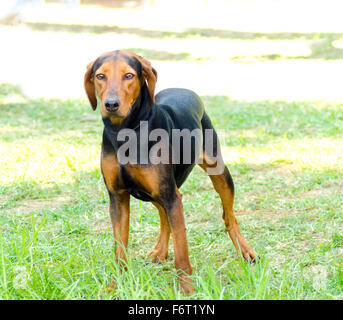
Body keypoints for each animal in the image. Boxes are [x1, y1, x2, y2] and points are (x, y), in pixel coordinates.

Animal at [83, 49, 256, 292]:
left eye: (129, 75)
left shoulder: (172, 197)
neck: (126, 131)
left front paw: (187, 290)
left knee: (228, 216)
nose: (111, 104)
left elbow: (182, 251)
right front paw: (115, 287)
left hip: (218, 174)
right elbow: (120, 250)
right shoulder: (118, 197)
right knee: (164, 217)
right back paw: (160, 251)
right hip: (154, 192)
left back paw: (245, 250)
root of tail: (184, 89)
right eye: (100, 76)